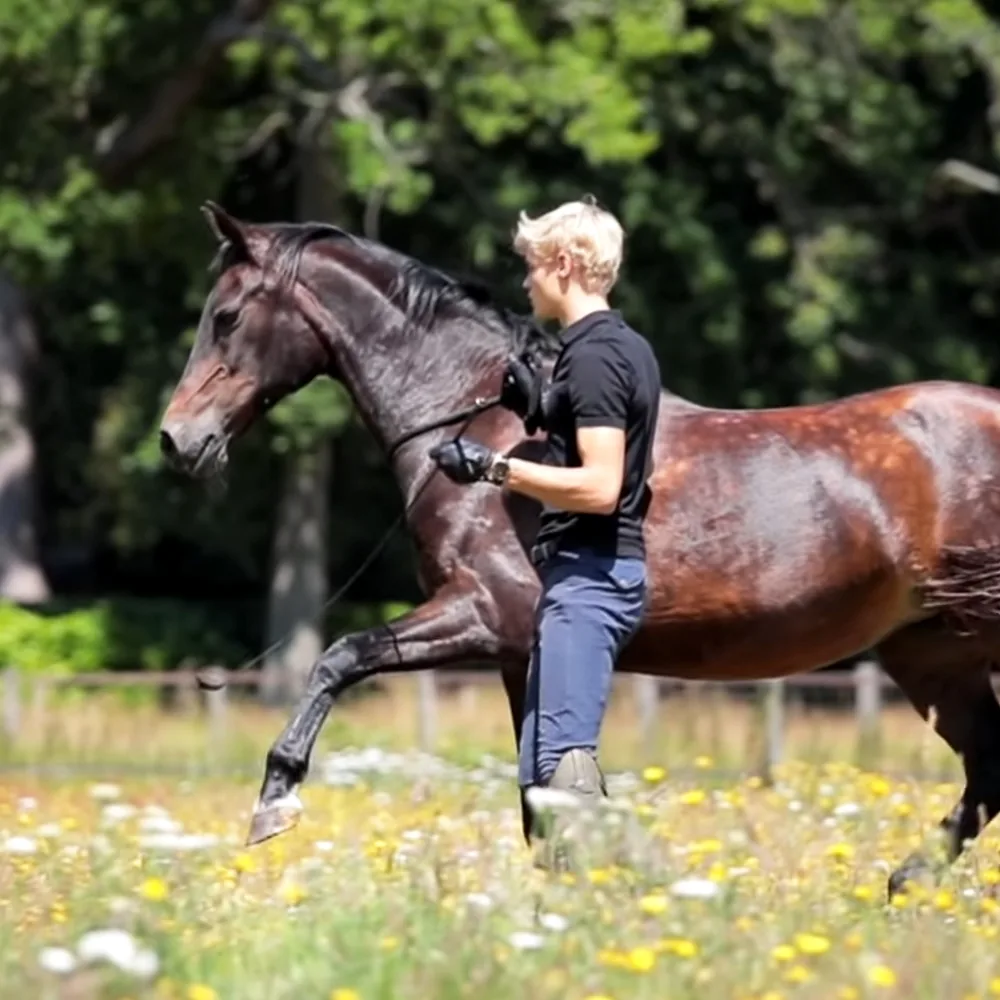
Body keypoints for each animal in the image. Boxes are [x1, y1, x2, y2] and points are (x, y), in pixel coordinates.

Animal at [160, 201, 1000, 898]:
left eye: (226, 316)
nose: (177, 441)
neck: (487, 422)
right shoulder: (519, 653)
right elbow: (541, 795)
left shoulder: (482, 615)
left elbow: (342, 656)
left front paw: (276, 800)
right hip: (929, 653)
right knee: (988, 772)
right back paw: (903, 884)